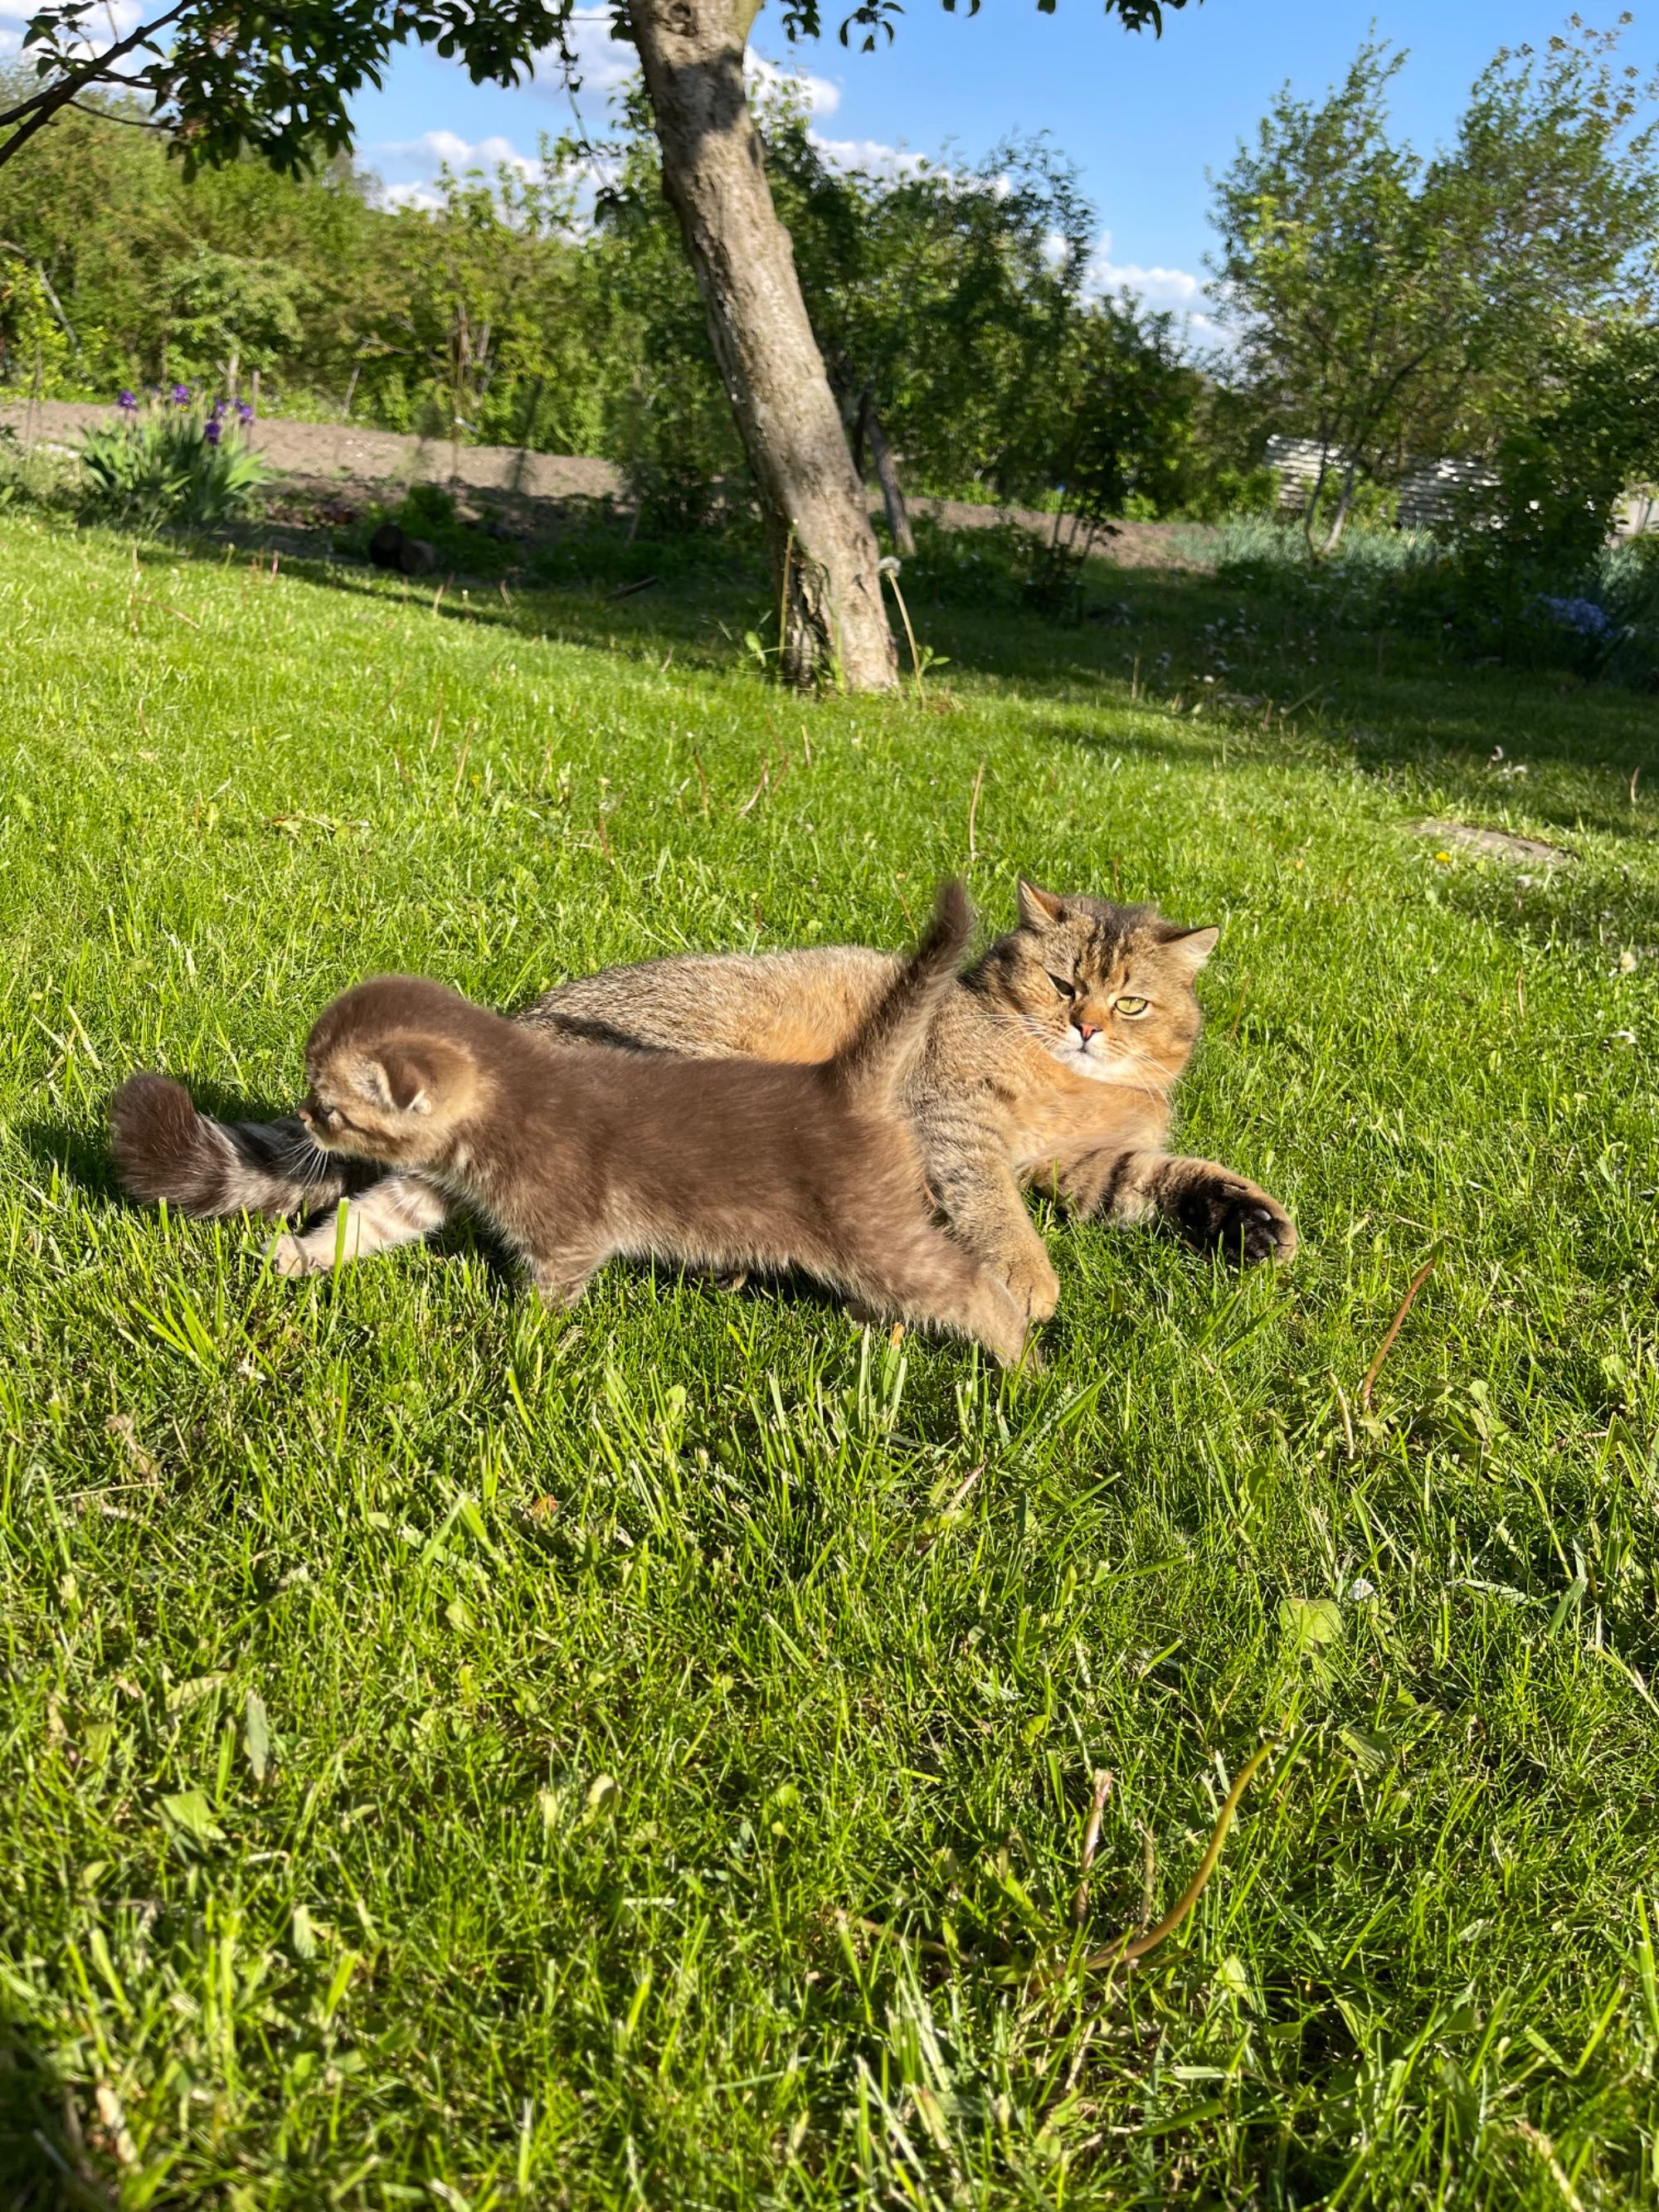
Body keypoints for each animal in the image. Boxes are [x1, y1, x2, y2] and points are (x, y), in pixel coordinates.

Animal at [110, 880, 1301, 1309]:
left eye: (1131, 1002)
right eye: (1061, 984)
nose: (1088, 1025)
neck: (1066, 1085)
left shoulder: (1091, 1164)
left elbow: (1166, 1176)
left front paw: (1249, 1220)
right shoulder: (956, 1123)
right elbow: (995, 1210)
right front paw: (1028, 1278)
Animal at [287, 880, 1039, 1362]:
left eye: (329, 1106)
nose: (301, 1117)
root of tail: (838, 1080)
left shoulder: (568, 1237)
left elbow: (548, 1298)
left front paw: (520, 1348)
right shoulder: (427, 1183)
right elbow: (370, 1218)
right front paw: (299, 1254)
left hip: (875, 1241)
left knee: (969, 1282)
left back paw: (1018, 1360)